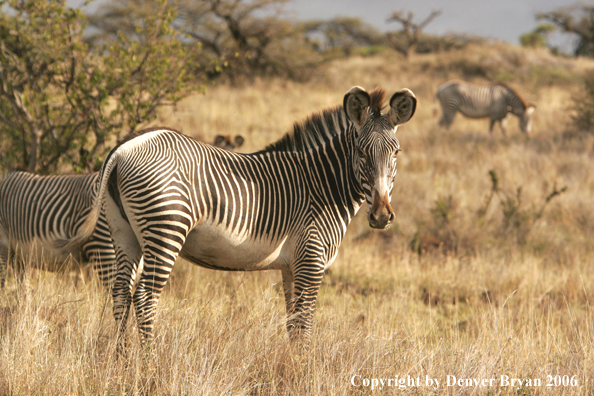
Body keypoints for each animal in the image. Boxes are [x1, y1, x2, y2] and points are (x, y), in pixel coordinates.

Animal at [67, 85, 414, 354]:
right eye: (361, 152)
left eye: (396, 153)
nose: (381, 216)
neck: (321, 184)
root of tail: (125, 148)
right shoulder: (311, 261)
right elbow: (304, 323)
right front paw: (303, 368)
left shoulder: (291, 266)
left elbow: (292, 323)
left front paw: (290, 366)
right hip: (165, 228)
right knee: (145, 297)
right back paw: (148, 365)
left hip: (124, 232)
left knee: (120, 293)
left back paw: (122, 362)